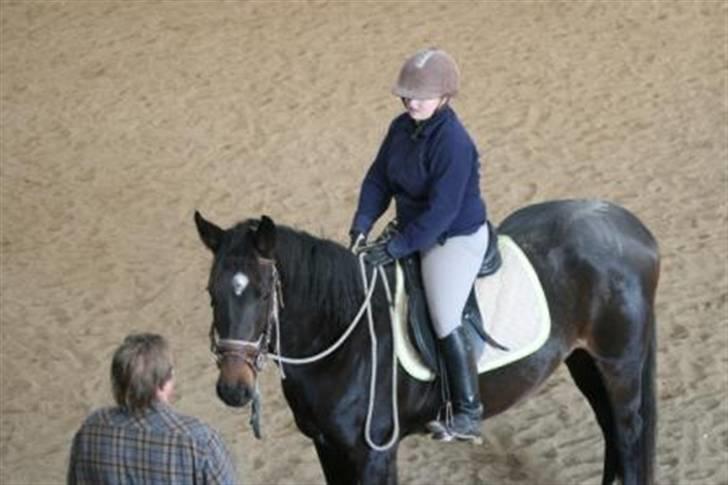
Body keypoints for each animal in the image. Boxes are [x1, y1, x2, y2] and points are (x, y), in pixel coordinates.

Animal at [193, 198, 660, 484]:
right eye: (211, 293)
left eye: (261, 293)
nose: (232, 390)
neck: (344, 340)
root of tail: (630, 227)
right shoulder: (327, 447)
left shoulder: (374, 454)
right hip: (584, 360)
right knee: (610, 430)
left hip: (620, 365)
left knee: (629, 433)